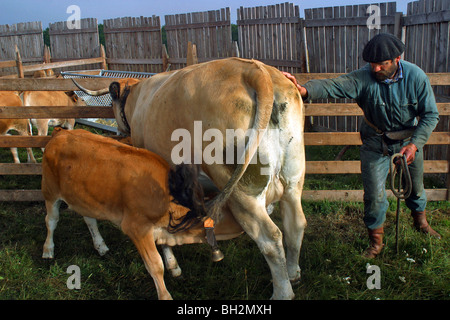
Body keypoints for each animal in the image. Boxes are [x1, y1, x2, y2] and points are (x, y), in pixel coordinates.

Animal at [42, 127, 244, 300]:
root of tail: (61, 133)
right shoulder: (137, 227)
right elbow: (155, 266)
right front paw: (165, 295)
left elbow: (165, 246)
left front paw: (173, 265)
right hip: (50, 191)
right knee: (51, 220)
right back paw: (48, 250)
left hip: (84, 196)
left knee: (89, 219)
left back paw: (101, 246)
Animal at [74, 57, 306, 300]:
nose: (119, 132)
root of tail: (255, 70)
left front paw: (173, 266)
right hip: (293, 179)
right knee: (295, 224)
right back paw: (293, 274)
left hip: (242, 191)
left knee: (270, 237)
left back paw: (282, 292)